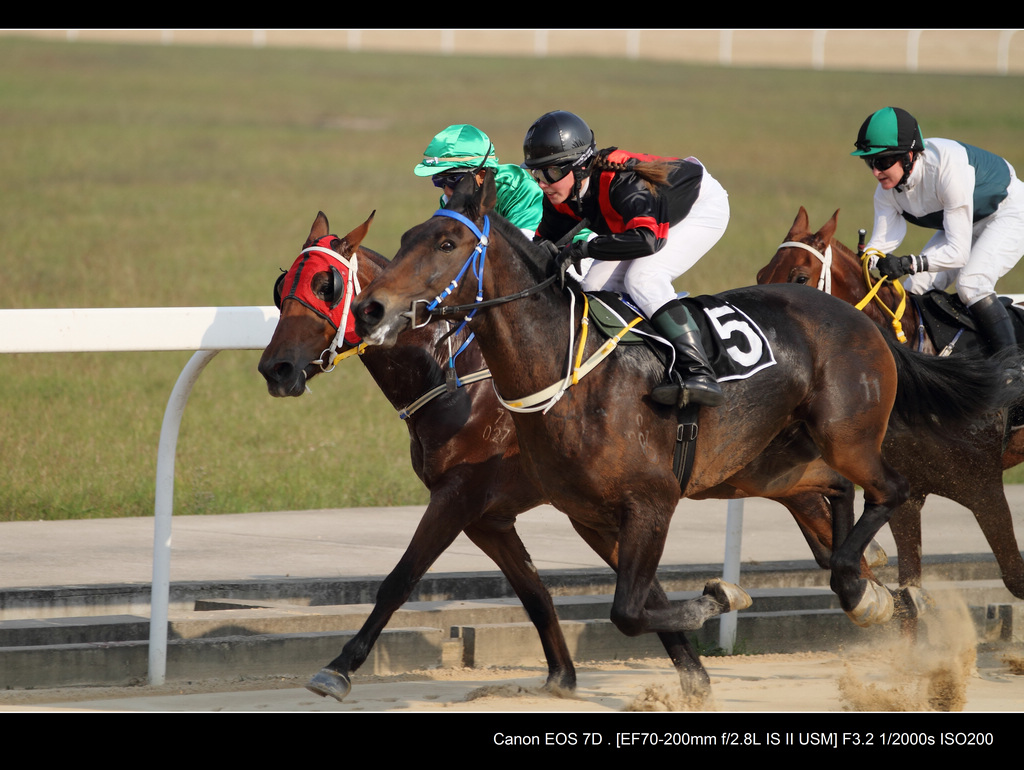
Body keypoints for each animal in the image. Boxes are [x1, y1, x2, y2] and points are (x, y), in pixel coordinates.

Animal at [757, 205, 1024, 602]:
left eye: (800, 276)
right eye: (762, 274)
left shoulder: (982, 485)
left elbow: (1015, 577)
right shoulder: (907, 493)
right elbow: (910, 593)